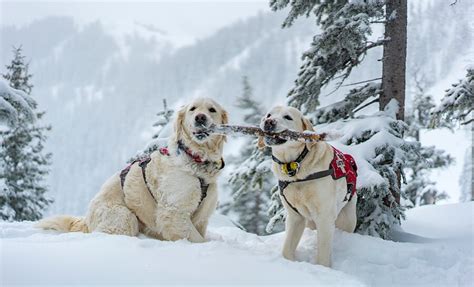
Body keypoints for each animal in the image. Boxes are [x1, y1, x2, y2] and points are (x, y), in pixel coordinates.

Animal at [39, 97, 228, 243]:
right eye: (192, 109)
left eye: (212, 110)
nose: (200, 118)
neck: (196, 158)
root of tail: (87, 218)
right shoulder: (173, 212)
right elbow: (197, 239)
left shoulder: (201, 216)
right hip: (124, 216)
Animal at [260, 106, 356, 268]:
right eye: (268, 115)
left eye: (287, 117)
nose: (269, 122)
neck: (295, 166)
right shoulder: (295, 216)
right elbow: (287, 249)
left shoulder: (324, 216)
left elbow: (323, 255)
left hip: (347, 218)